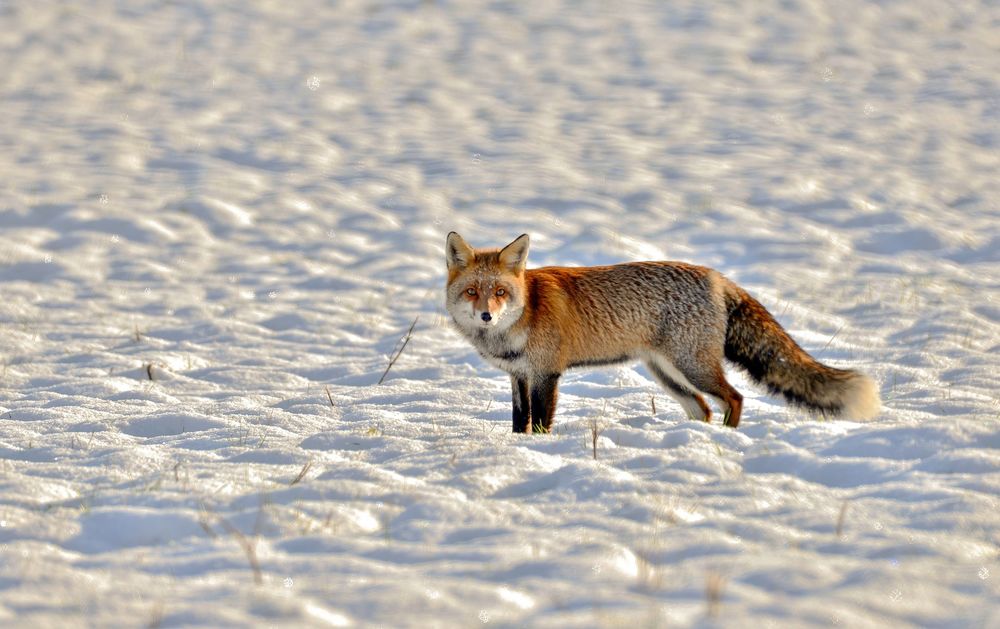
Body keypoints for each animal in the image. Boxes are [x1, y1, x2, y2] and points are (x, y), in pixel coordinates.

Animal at [444, 232, 880, 433]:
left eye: (501, 292)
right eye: (472, 291)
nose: (486, 316)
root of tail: (716, 277)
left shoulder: (546, 374)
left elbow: (539, 425)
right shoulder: (519, 376)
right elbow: (520, 423)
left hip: (692, 367)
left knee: (734, 398)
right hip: (667, 374)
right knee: (704, 408)